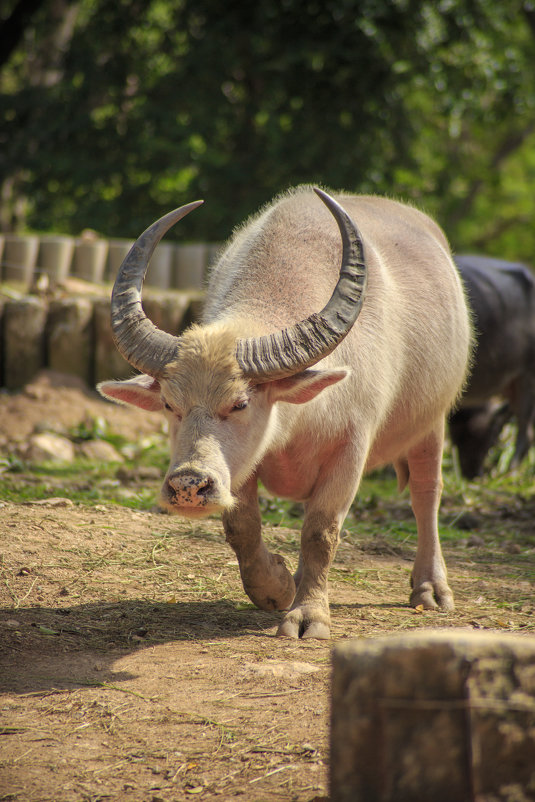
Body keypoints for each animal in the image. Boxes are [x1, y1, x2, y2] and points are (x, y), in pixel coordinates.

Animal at [98, 188, 472, 636]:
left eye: (240, 403)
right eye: (170, 404)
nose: (188, 485)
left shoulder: (350, 449)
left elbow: (321, 532)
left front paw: (308, 614)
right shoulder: (242, 467)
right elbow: (241, 527)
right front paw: (275, 587)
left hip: (432, 422)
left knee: (426, 494)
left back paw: (431, 588)